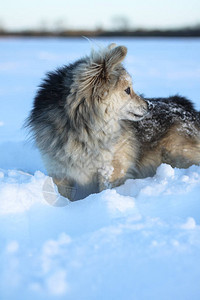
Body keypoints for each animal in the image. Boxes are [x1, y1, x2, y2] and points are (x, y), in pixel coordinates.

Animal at [26, 43, 200, 200]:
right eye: (127, 90)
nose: (149, 106)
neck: (82, 127)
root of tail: (188, 108)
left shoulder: (112, 169)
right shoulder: (59, 172)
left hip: (177, 155)